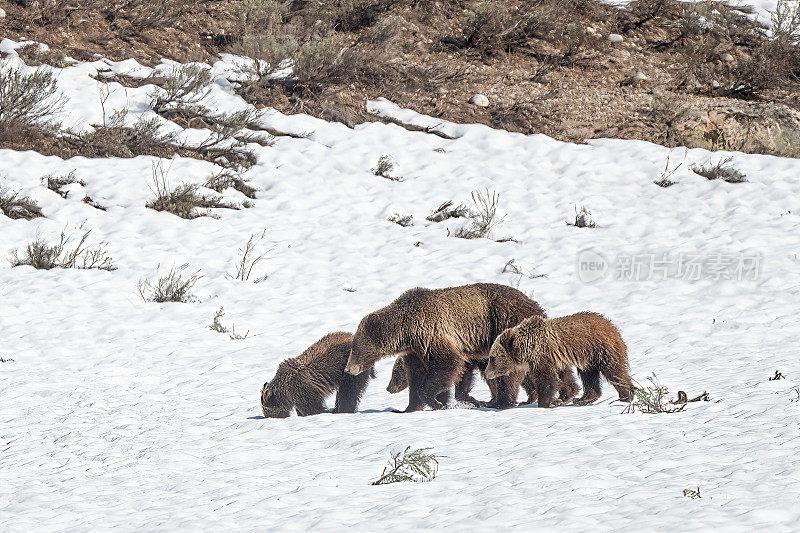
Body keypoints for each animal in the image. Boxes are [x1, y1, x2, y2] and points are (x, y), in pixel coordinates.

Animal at [344, 282, 556, 412]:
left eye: (354, 348)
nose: (348, 369)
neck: (404, 330)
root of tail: (537, 307)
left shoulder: (431, 333)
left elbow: (446, 364)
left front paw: (436, 402)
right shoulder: (415, 350)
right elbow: (418, 375)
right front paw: (410, 407)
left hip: (504, 323)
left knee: (508, 371)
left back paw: (503, 402)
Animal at [484, 312, 636, 408]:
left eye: (492, 357)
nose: (486, 373)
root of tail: (612, 326)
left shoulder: (542, 356)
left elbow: (547, 380)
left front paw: (544, 403)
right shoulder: (555, 360)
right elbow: (564, 379)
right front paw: (563, 397)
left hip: (602, 348)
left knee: (614, 371)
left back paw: (626, 396)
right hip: (588, 359)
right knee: (589, 376)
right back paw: (584, 398)